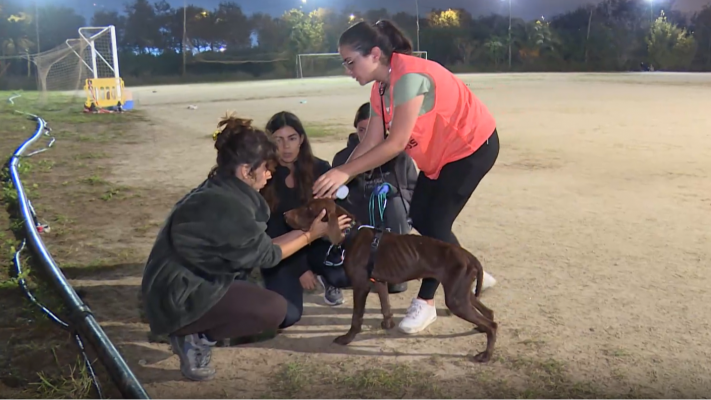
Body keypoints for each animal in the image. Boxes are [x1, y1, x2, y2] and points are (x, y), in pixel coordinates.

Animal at [280, 198, 498, 362]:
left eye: (309, 209)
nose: (284, 215)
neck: (351, 234)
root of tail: (469, 256)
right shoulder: (379, 281)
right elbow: (385, 305)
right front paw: (388, 324)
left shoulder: (360, 286)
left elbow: (356, 318)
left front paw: (347, 338)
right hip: (462, 293)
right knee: (489, 313)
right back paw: (481, 328)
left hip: (456, 299)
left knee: (492, 325)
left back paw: (486, 355)